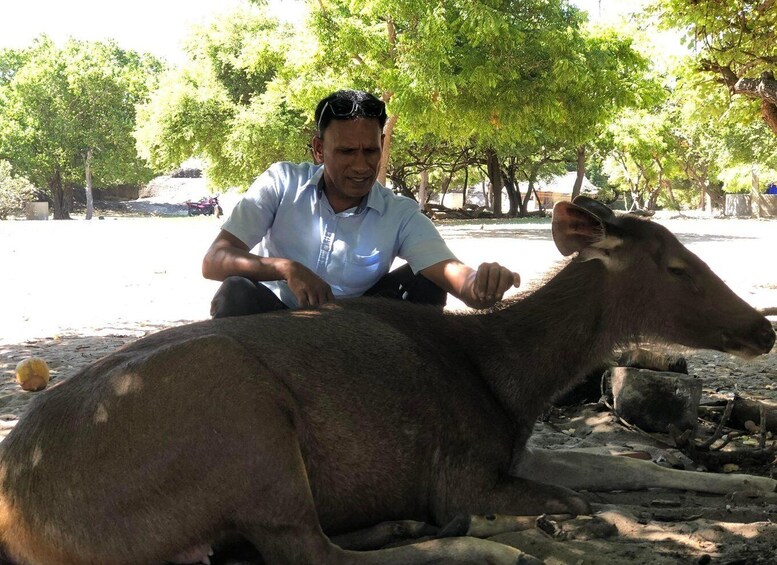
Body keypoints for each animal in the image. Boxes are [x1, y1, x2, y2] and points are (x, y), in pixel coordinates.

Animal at [0, 195, 772, 564]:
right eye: (677, 265)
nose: (761, 330)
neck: (513, 381)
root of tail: (18, 515)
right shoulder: (460, 469)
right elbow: (582, 498)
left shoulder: (514, 446)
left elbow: (623, 465)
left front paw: (751, 484)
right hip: (244, 427)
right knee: (308, 553)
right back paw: (487, 545)